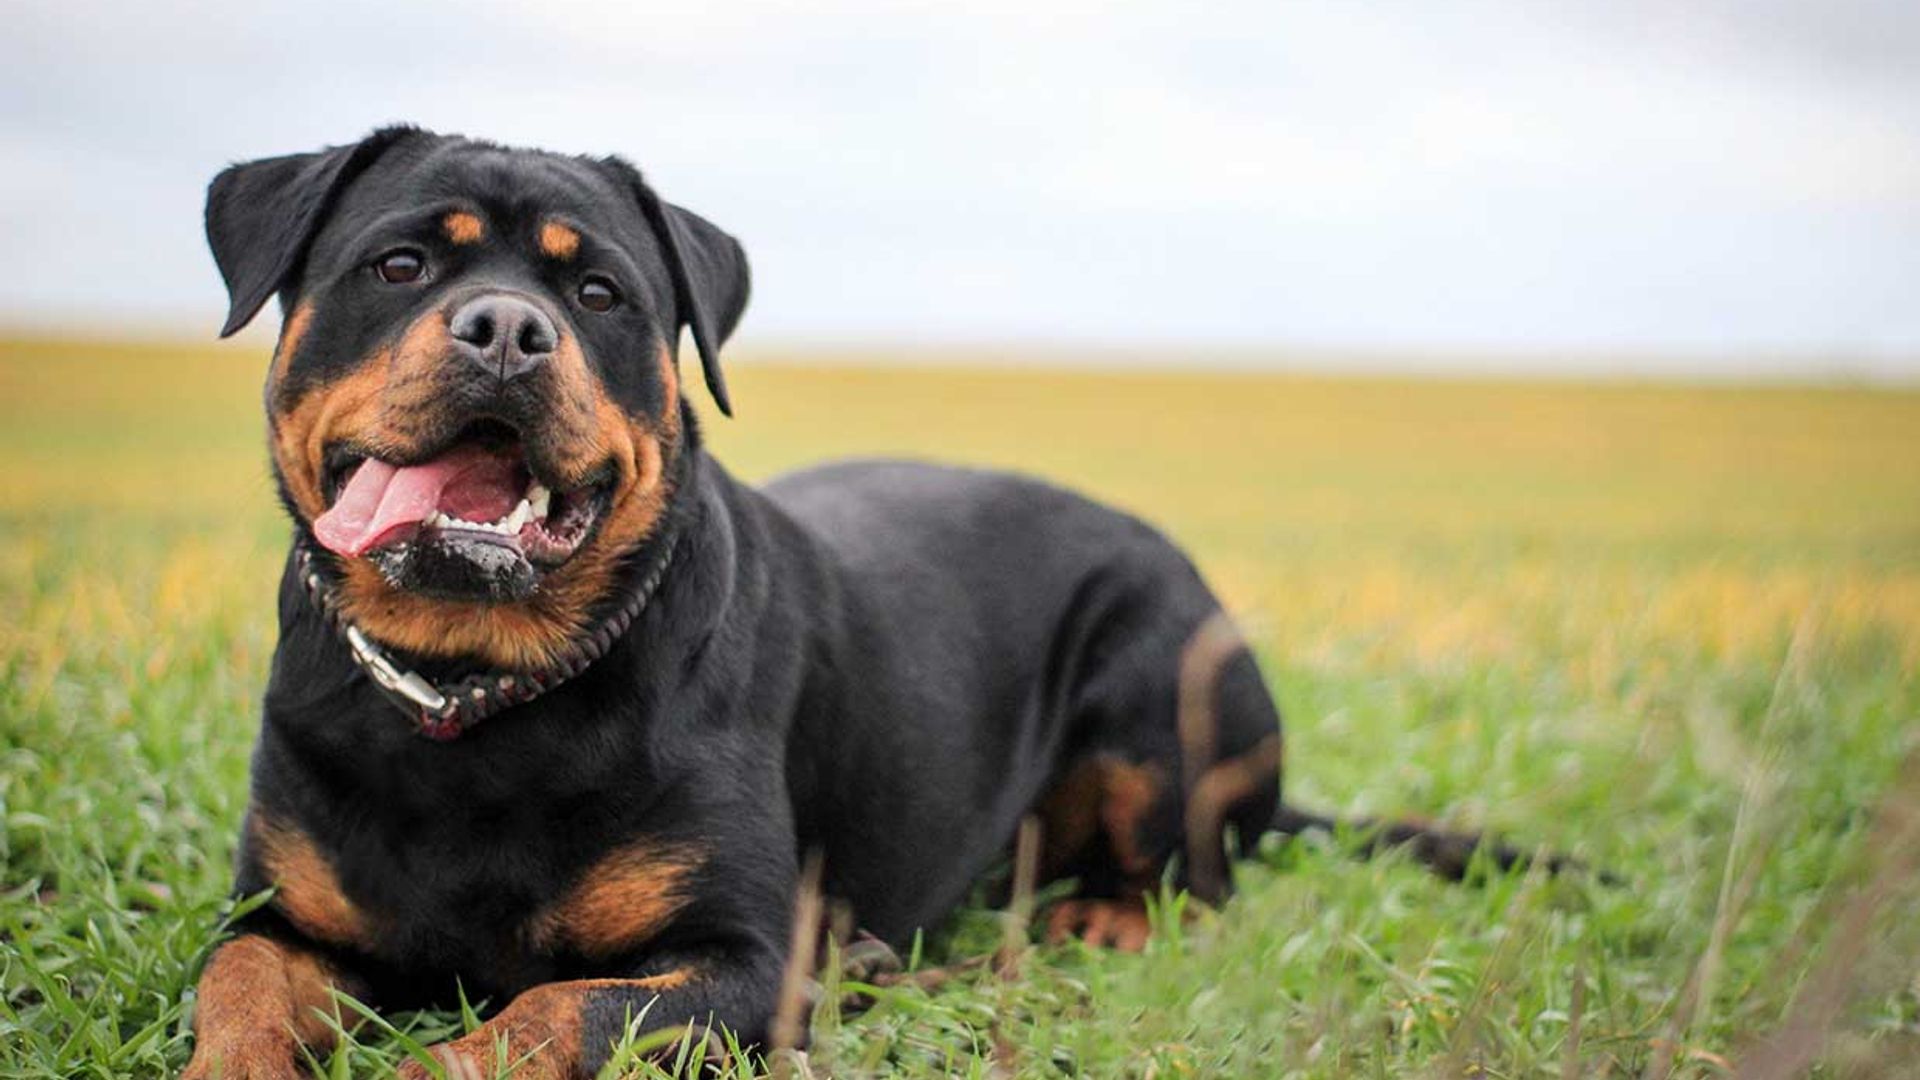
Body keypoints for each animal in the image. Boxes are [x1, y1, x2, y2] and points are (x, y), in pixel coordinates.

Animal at [187, 127, 1536, 1076]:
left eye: (600, 296)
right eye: (399, 264)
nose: (510, 328)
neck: (476, 690)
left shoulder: (749, 961)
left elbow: (549, 1015)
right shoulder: (281, 918)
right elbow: (235, 988)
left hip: (1161, 670)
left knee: (1198, 885)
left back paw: (1095, 922)